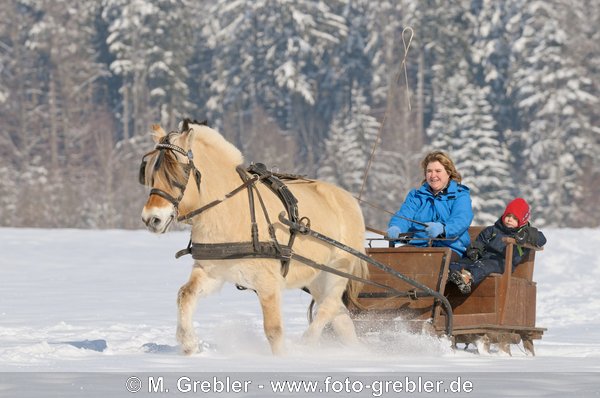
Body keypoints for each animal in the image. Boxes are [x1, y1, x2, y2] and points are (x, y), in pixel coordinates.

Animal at [139, 119, 368, 356]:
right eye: (151, 174)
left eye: (177, 174)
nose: (151, 218)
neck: (229, 212)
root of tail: (348, 198)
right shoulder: (212, 271)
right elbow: (185, 294)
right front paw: (188, 344)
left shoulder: (268, 283)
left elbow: (274, 331)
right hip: (317, 276)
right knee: (341, 316)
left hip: (337, 270)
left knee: (328, 307)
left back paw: (307, 344)